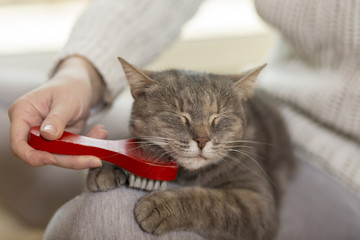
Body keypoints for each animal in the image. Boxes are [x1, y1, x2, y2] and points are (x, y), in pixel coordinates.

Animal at [86, 57, 294, 239]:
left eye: (217, 118)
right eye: (180, 116)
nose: (202, 140)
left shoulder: (257, 203)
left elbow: (209, 200)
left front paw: (161, 205)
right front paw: (107, 164)